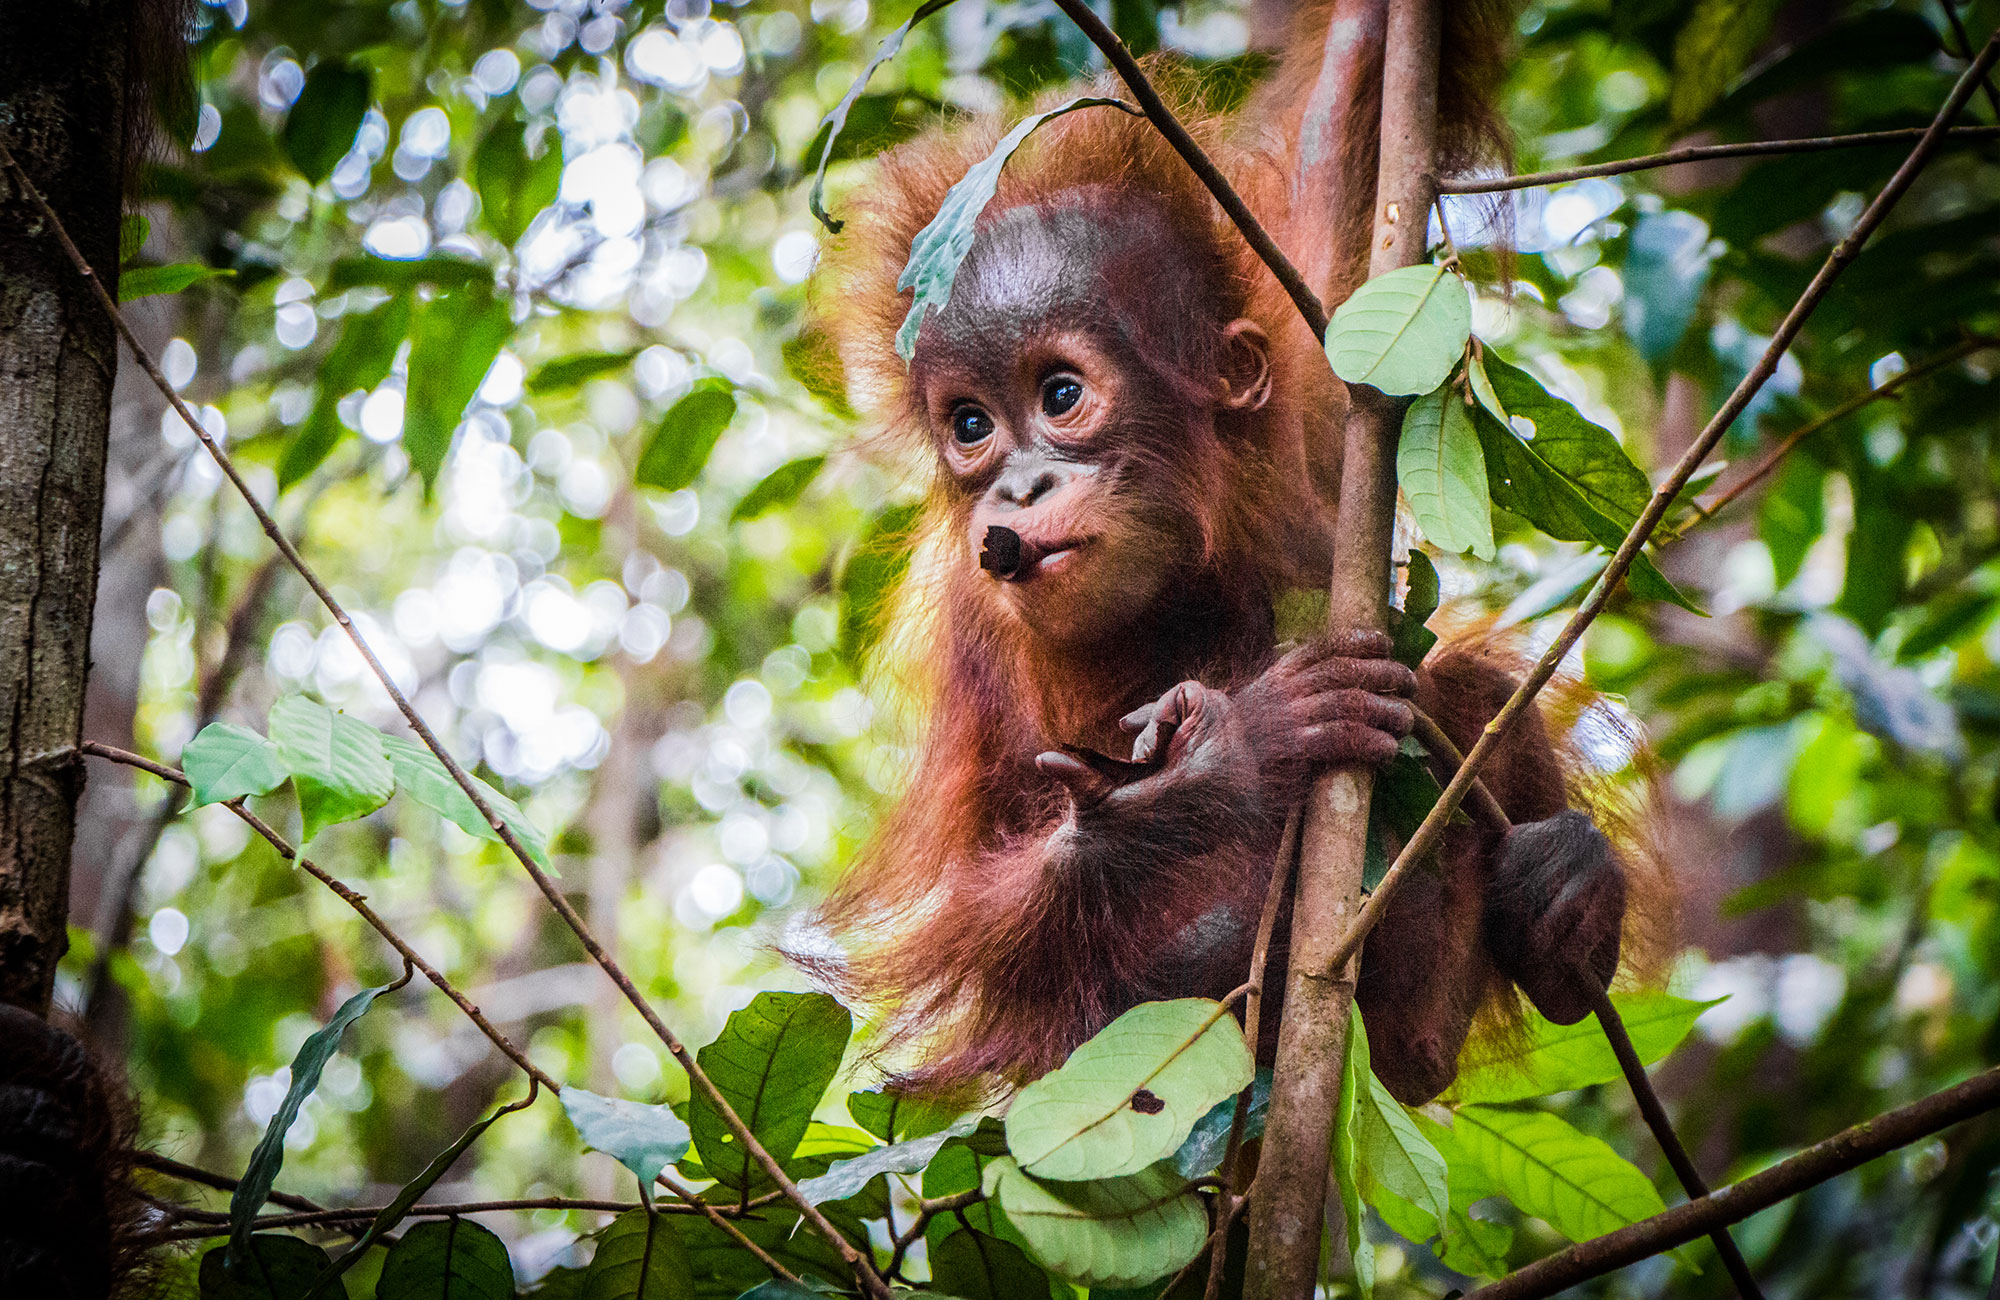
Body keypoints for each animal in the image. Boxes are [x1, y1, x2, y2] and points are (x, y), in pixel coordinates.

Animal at [795, 0, 1669, 1105]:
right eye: (969, 424)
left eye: (1059, 395)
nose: (1015, 489)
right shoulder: (972, 619)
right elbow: (964, 912)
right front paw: (1208, 772)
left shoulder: (1317, 400)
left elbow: (1347, 107)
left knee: (1456, 683)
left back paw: (1549, 925)